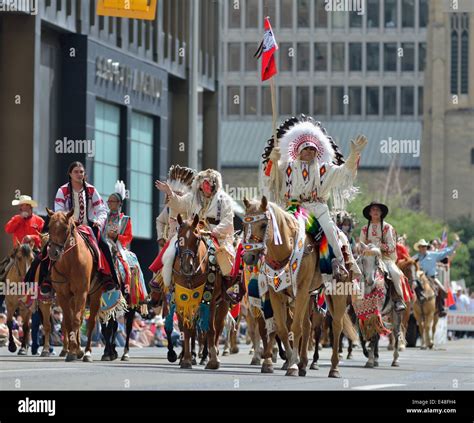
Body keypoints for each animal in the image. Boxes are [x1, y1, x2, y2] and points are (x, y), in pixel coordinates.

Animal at [46, 210, 103, 362]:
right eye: (49, 227)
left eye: (66, 229)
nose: (53, 253)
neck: (69, 263)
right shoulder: (63, 295)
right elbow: (68, 321)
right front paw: (73, 350)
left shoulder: (81, 292)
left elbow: (77, 321)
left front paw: (74, 351)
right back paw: (78, 349)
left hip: (95, 295)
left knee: (91, 323)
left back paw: (87, 352)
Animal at [243, 197, 320, 376]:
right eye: (244, 225)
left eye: (263, 225)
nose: (248, 257)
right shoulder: (275, 294)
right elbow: (282, 328)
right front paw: (291, 360)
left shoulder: (302, 291)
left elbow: (295, 328)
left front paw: (292, 365)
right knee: (307, 326)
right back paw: (302, 363)